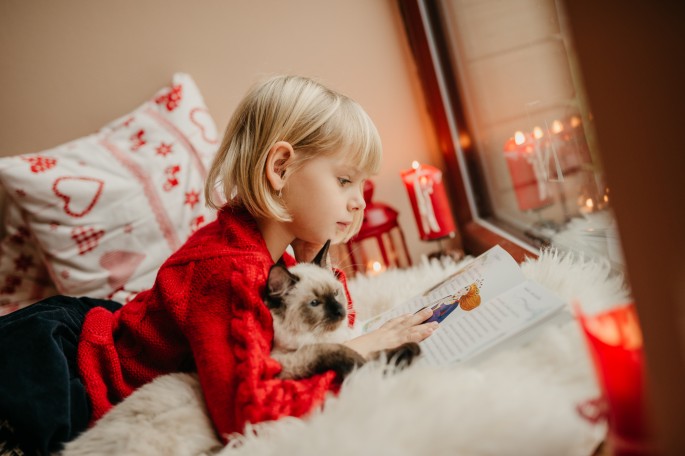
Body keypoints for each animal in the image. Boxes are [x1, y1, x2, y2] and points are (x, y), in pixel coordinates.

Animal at [264, 239, 420, 382]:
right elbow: (336, 351)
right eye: (315, 303)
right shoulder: (284, 363)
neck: (329, 336)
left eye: (335, 293)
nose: (340, 311)